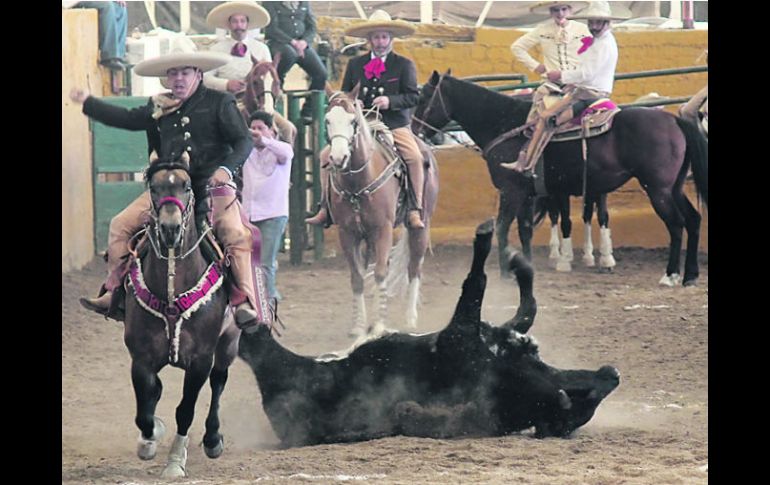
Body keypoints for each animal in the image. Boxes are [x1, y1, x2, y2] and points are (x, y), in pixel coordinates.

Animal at [124, 154, 238, 476]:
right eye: (154, 187)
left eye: (186, 186)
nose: (170, 228)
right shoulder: (141, 358)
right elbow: (144, 409)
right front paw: (148, 441)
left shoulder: (200, 360)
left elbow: (185, 410)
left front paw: (175, 461)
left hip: (229, 342)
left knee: (219, 381)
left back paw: (212, 438)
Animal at [238, 220, 616, 446]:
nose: (611, 373)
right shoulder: (468, 334)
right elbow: (503, 297)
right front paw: (506, 253)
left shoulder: (468, 334)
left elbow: (502, 296)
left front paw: (503, 250)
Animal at [320, 86, 436, 336]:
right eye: (327, 120)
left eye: (353, 121)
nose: (338, 158)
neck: (357, 182)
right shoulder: (348, 233)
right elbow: (357, 277)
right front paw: (359, 325)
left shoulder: (383, 229)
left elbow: (382, 272)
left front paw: (380, 324)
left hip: (421, 226)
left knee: (414, 267)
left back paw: (410, 319)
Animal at [414, 70, 708, 286]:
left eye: (424, 96)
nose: (416, 129)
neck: (505, 124)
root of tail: (673, 120)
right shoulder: (527, 193)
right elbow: (525, 230)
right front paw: (527, 267)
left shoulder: (511, 190)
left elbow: (502, 227)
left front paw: (506, 273)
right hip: (674, 188)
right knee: (693, 220)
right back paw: (690, 275)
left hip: (658, 190)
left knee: (676, 225)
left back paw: (670, 275)